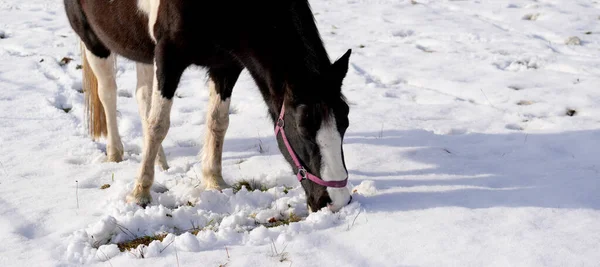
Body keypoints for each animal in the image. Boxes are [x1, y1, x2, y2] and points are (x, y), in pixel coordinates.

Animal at [65, 0, 354, 214]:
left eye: (345, 124)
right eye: (303, 127)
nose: (336, 201)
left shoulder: (226, 64)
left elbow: (217, 122)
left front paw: (214, 181)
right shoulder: (168, 56)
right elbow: (159, 124)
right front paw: (140, 194)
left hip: (142, 49)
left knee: (142, 97)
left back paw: (162, 163)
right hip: (94, 41)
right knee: (108, 93)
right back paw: (115, 153)